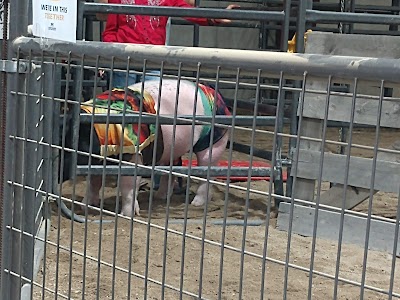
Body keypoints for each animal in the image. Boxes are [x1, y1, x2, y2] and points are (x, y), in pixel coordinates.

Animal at [57, 78, 230, 217]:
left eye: (74, 144)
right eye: (60, 143)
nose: (59, 174)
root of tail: (214, 93)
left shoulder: (134, 153)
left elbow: (128, 187)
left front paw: (127, 215)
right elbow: (94, 182)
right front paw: (85, 207)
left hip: (214, 140)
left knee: (206, 172)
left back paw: (196, 203)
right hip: (172, 149)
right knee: (172, 170)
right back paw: (160, 196)